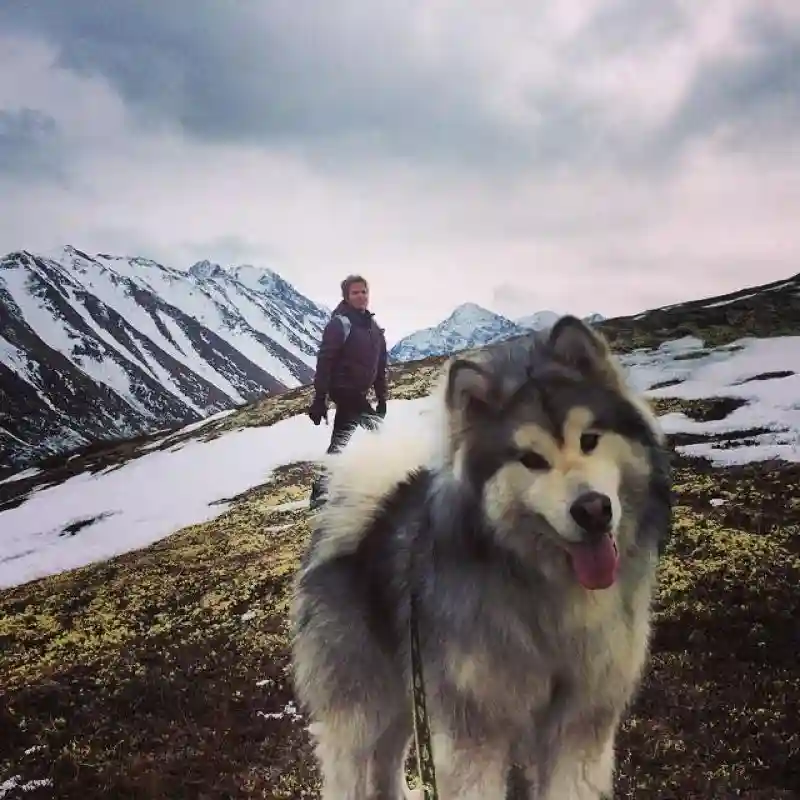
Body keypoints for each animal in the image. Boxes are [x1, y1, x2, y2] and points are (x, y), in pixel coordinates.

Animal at [290, 316, 672, 796]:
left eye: (589, 440)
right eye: (530, 459)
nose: (593, 510)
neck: (550, 596)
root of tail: (366, 508)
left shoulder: (582, 720)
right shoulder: (474, 731)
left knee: (388, 761)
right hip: (364, 705)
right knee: (355, 768)